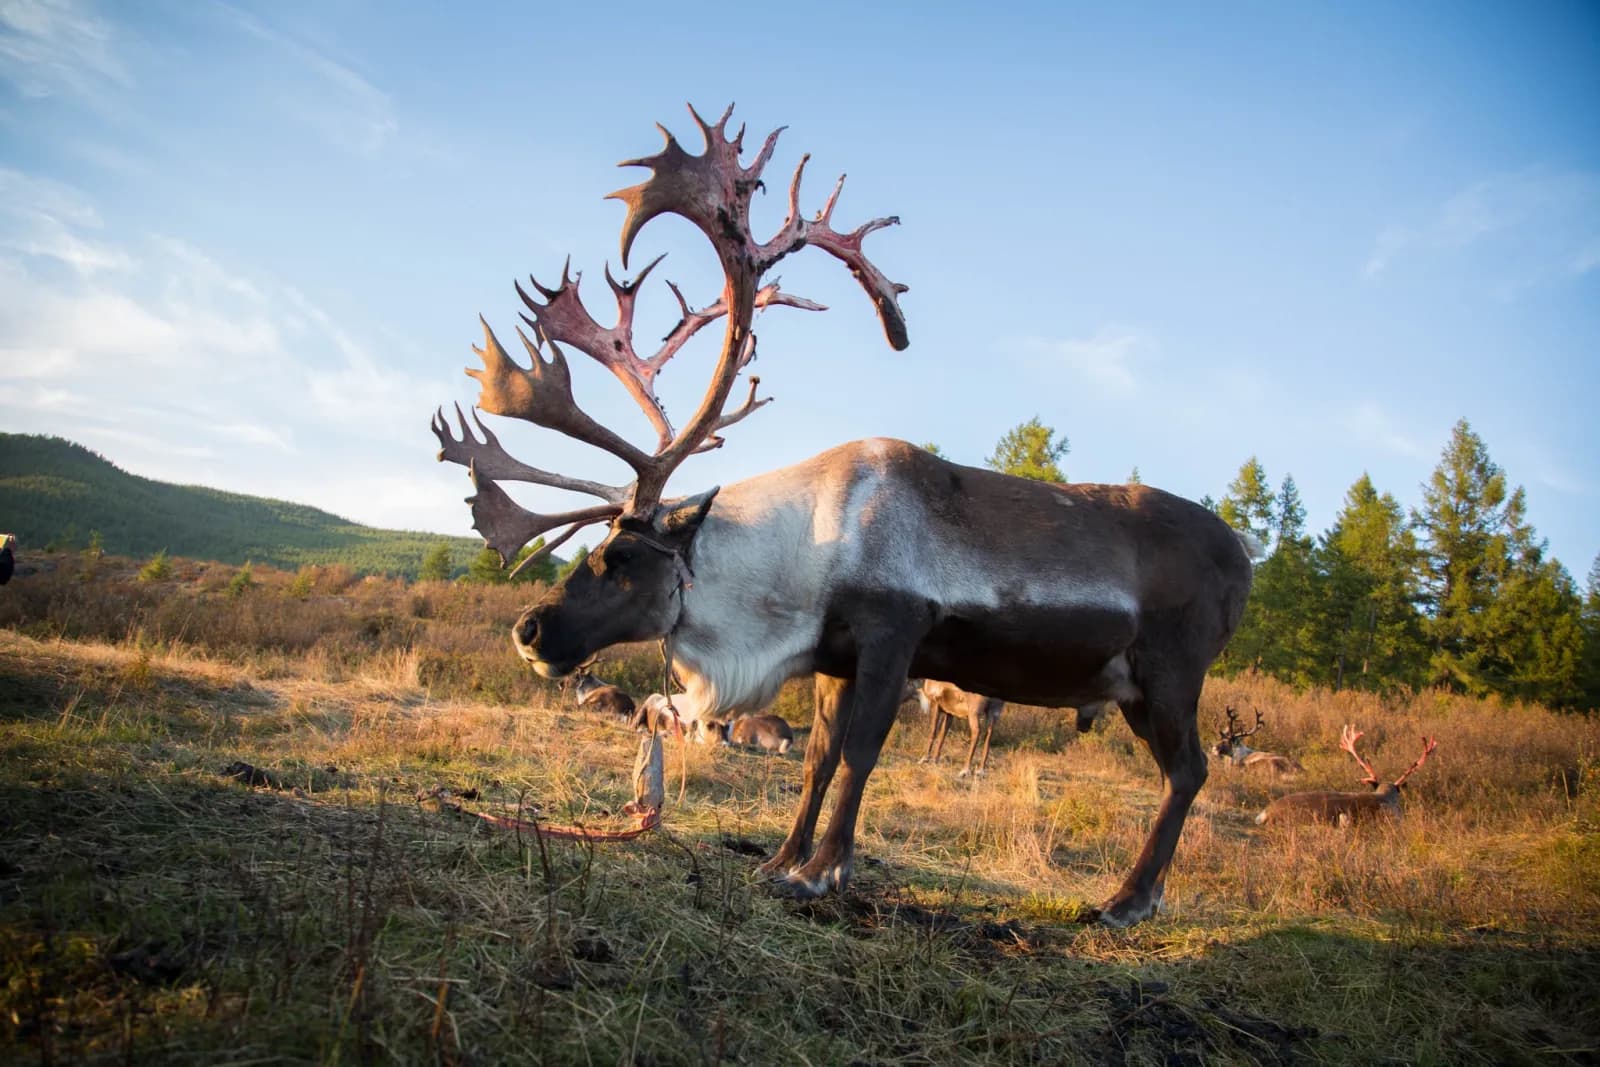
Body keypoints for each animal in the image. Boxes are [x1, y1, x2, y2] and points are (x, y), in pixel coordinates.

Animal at [430, 105, 1260, 927]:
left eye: (623, 559)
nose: (529, 629)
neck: (803, 553)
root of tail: (1246, 556)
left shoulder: (895, 632)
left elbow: (862, 753)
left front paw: (822, 872)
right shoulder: (833, 656)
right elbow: (817, 757)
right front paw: (779, 859)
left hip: (1171, 670)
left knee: (1191, 769)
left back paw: (1127, 898)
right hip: (1137, 688)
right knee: (1181, 771)